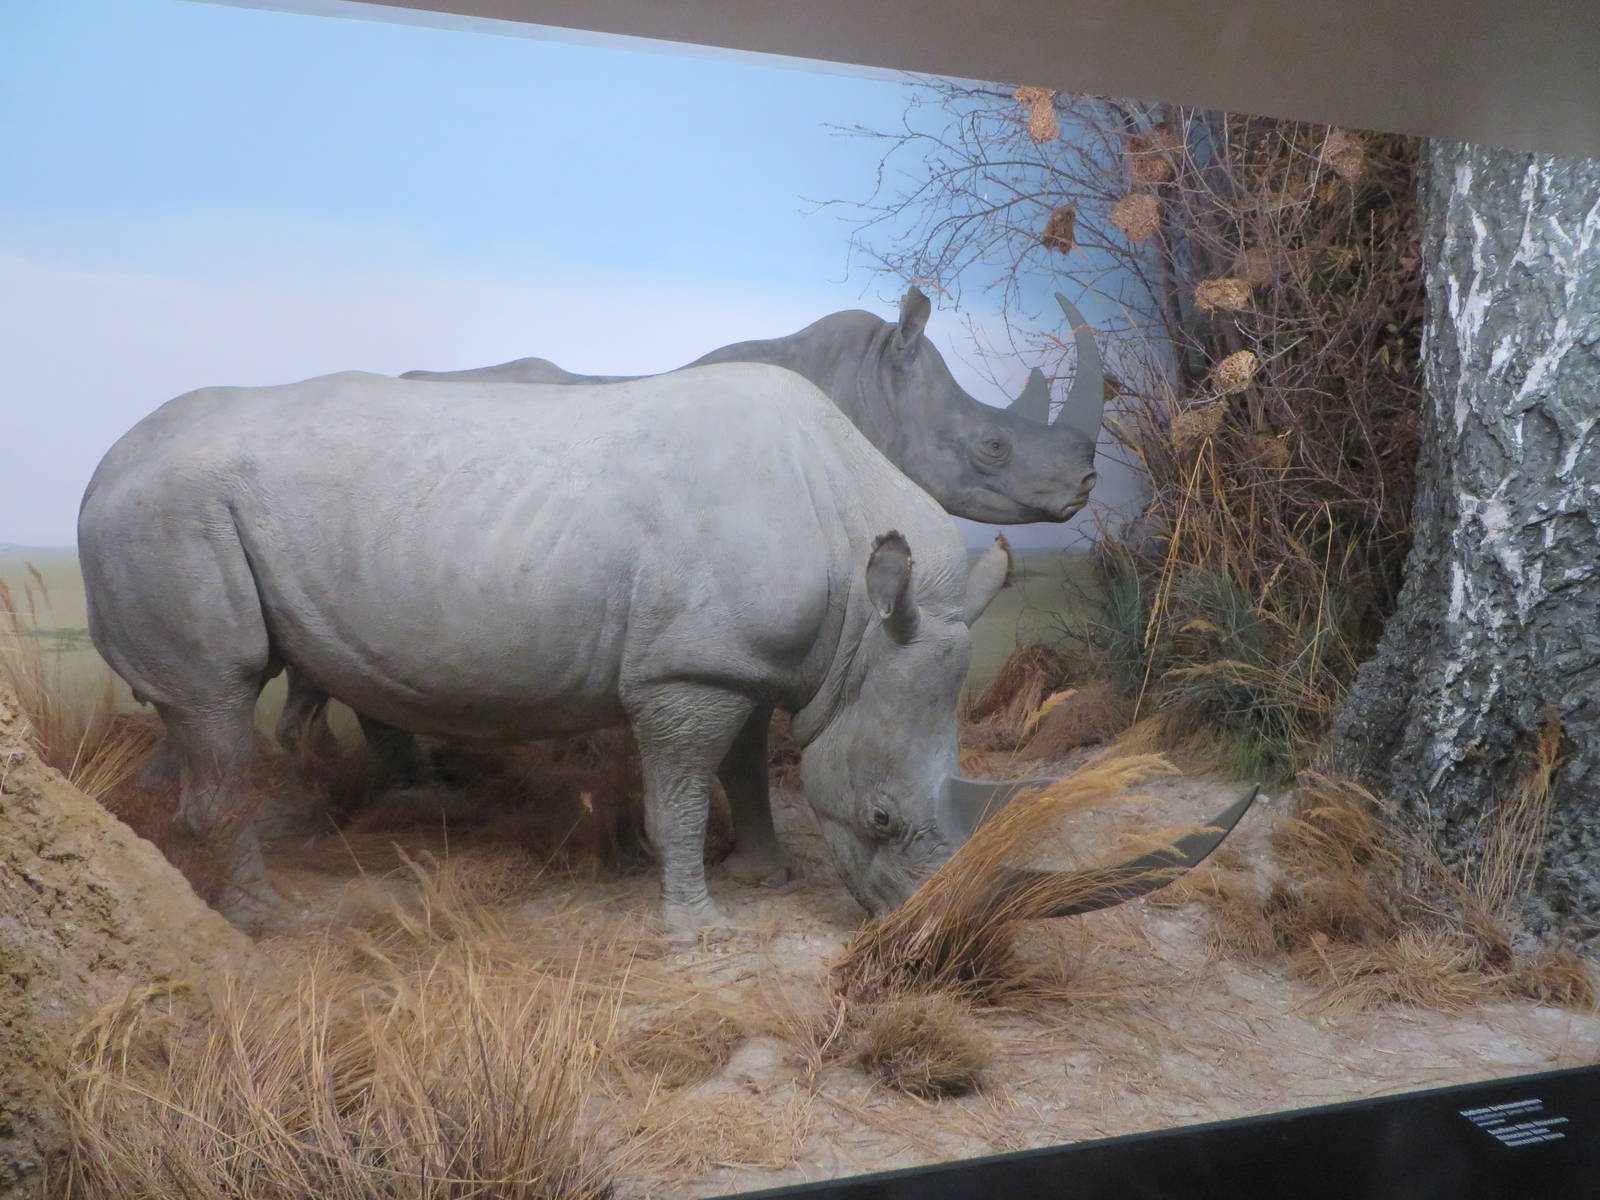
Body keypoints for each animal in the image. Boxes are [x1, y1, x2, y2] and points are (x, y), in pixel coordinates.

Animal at [81, 364, 1246, 930]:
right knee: (220, 695)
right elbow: (682, 788)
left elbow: (750, 766)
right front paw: (697, 925)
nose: (931, 932)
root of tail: (99, 468)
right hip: (170, 514)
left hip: (184, 514)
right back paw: (265, 919)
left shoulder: (761, 658)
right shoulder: (687, 667)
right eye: (881, 821)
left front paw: (765, 872)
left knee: (196, 708)